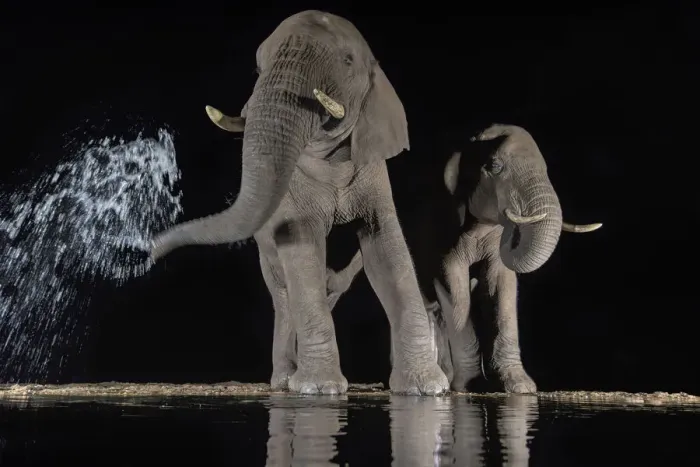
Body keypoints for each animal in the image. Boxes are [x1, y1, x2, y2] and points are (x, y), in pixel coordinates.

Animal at [148, 10, 449, 395]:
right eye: (258, 68)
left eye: (347, 61)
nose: (150, 251)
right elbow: (302, 250)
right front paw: (319, 389)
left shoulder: (374, 174)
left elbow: (387, 249)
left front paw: (427, 388)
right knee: (284, 296)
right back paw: (284, 382)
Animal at [320, 123, 603, 393]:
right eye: (495, 167)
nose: (513, 226)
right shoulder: (440, 218)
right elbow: (452, 281)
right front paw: (470, 385)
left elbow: (502, 284)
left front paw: (520, 387)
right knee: (339, 283)